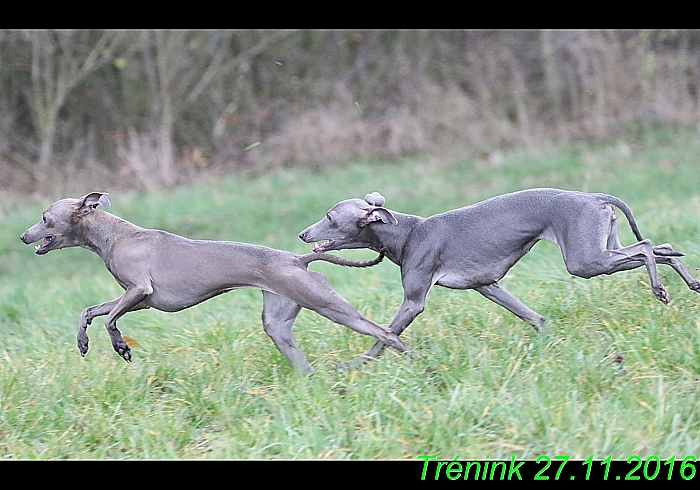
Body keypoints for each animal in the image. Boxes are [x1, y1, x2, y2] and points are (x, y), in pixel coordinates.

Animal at [19, 193, 408, 370]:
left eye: (45, 218)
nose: (23, 236)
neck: (114, 235)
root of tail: (298, 259)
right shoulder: (139, 299)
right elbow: (89, 311)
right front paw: (82, 342)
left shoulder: (139, 290)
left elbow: (110, 320)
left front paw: (121, 347)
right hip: (278, 322)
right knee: (303, 364)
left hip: (326, 303)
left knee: (386, 332)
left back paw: (415, 361)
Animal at [298, 189, 696, 366]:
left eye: (330, 217)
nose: (302, 234)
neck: (407, 233)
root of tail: (592, 197)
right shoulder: (488, 286)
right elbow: (533, 317)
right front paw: (547, 343)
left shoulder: (414, 301)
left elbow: (384, 334)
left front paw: (354, 364)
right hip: (601, 250)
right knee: (663, 247)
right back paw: (692, 283)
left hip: (586, 261)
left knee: (647, 246)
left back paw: (660, 289)